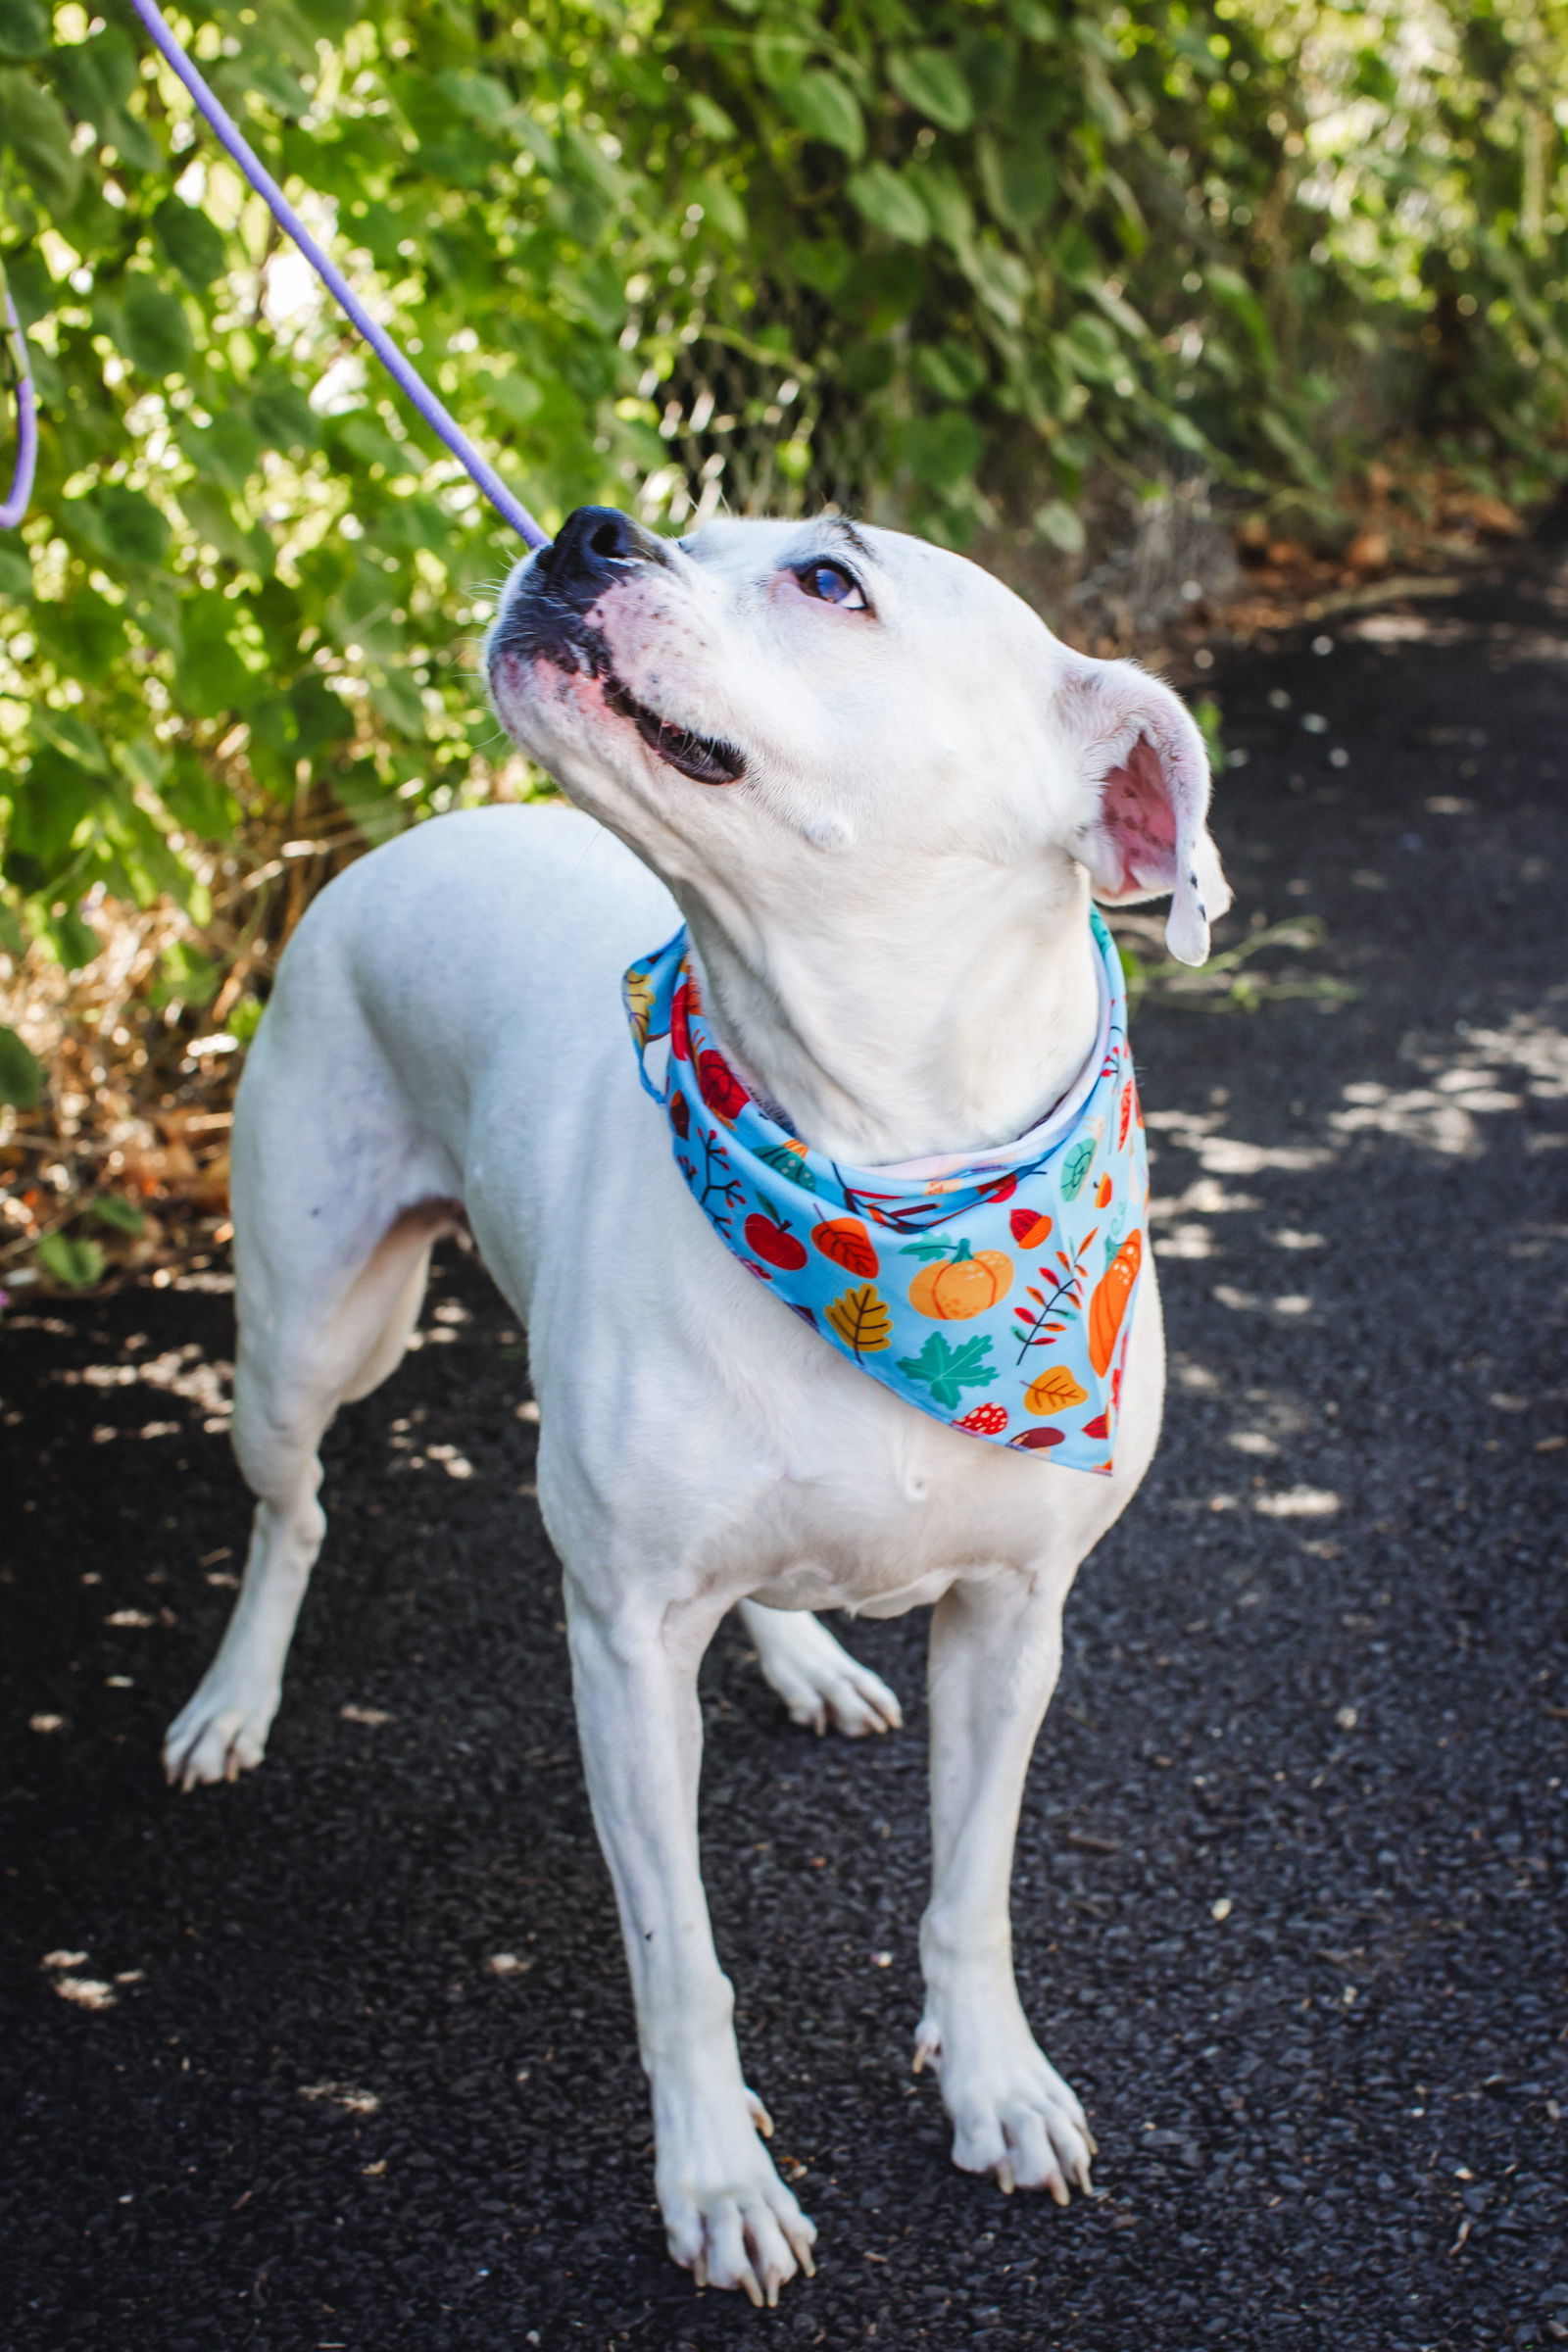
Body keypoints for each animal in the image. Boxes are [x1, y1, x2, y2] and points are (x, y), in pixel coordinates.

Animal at [166, 510, 1231, 2295]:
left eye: (829, 579)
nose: (582, 529)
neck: (872, 1170)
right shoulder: (622, 1645)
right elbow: (680, 1961)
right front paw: (720, 2179)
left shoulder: (1017, 1619)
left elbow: (974, 1890)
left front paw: (996, 2082)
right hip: (304, 1338)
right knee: (291, 1509)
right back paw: (233, 1700)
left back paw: (807, 1659)